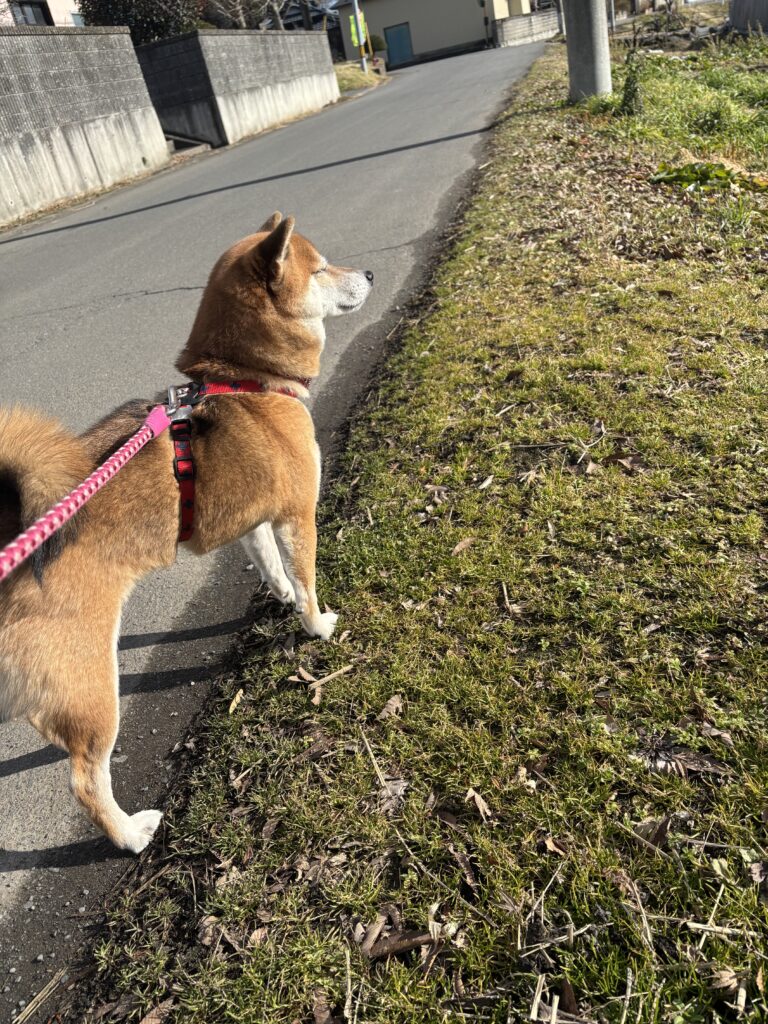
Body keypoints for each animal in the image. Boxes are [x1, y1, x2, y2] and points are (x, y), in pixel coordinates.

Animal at [0, 213, 373, 852]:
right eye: (323, 267)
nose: (370, 273)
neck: (247, 380)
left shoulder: (256, 522)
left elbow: (274, 569)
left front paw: (282, 598)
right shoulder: (297, 515)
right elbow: (306, 578)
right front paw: (316, 624)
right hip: (93, 691)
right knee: (86, 780)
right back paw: (130, 834)